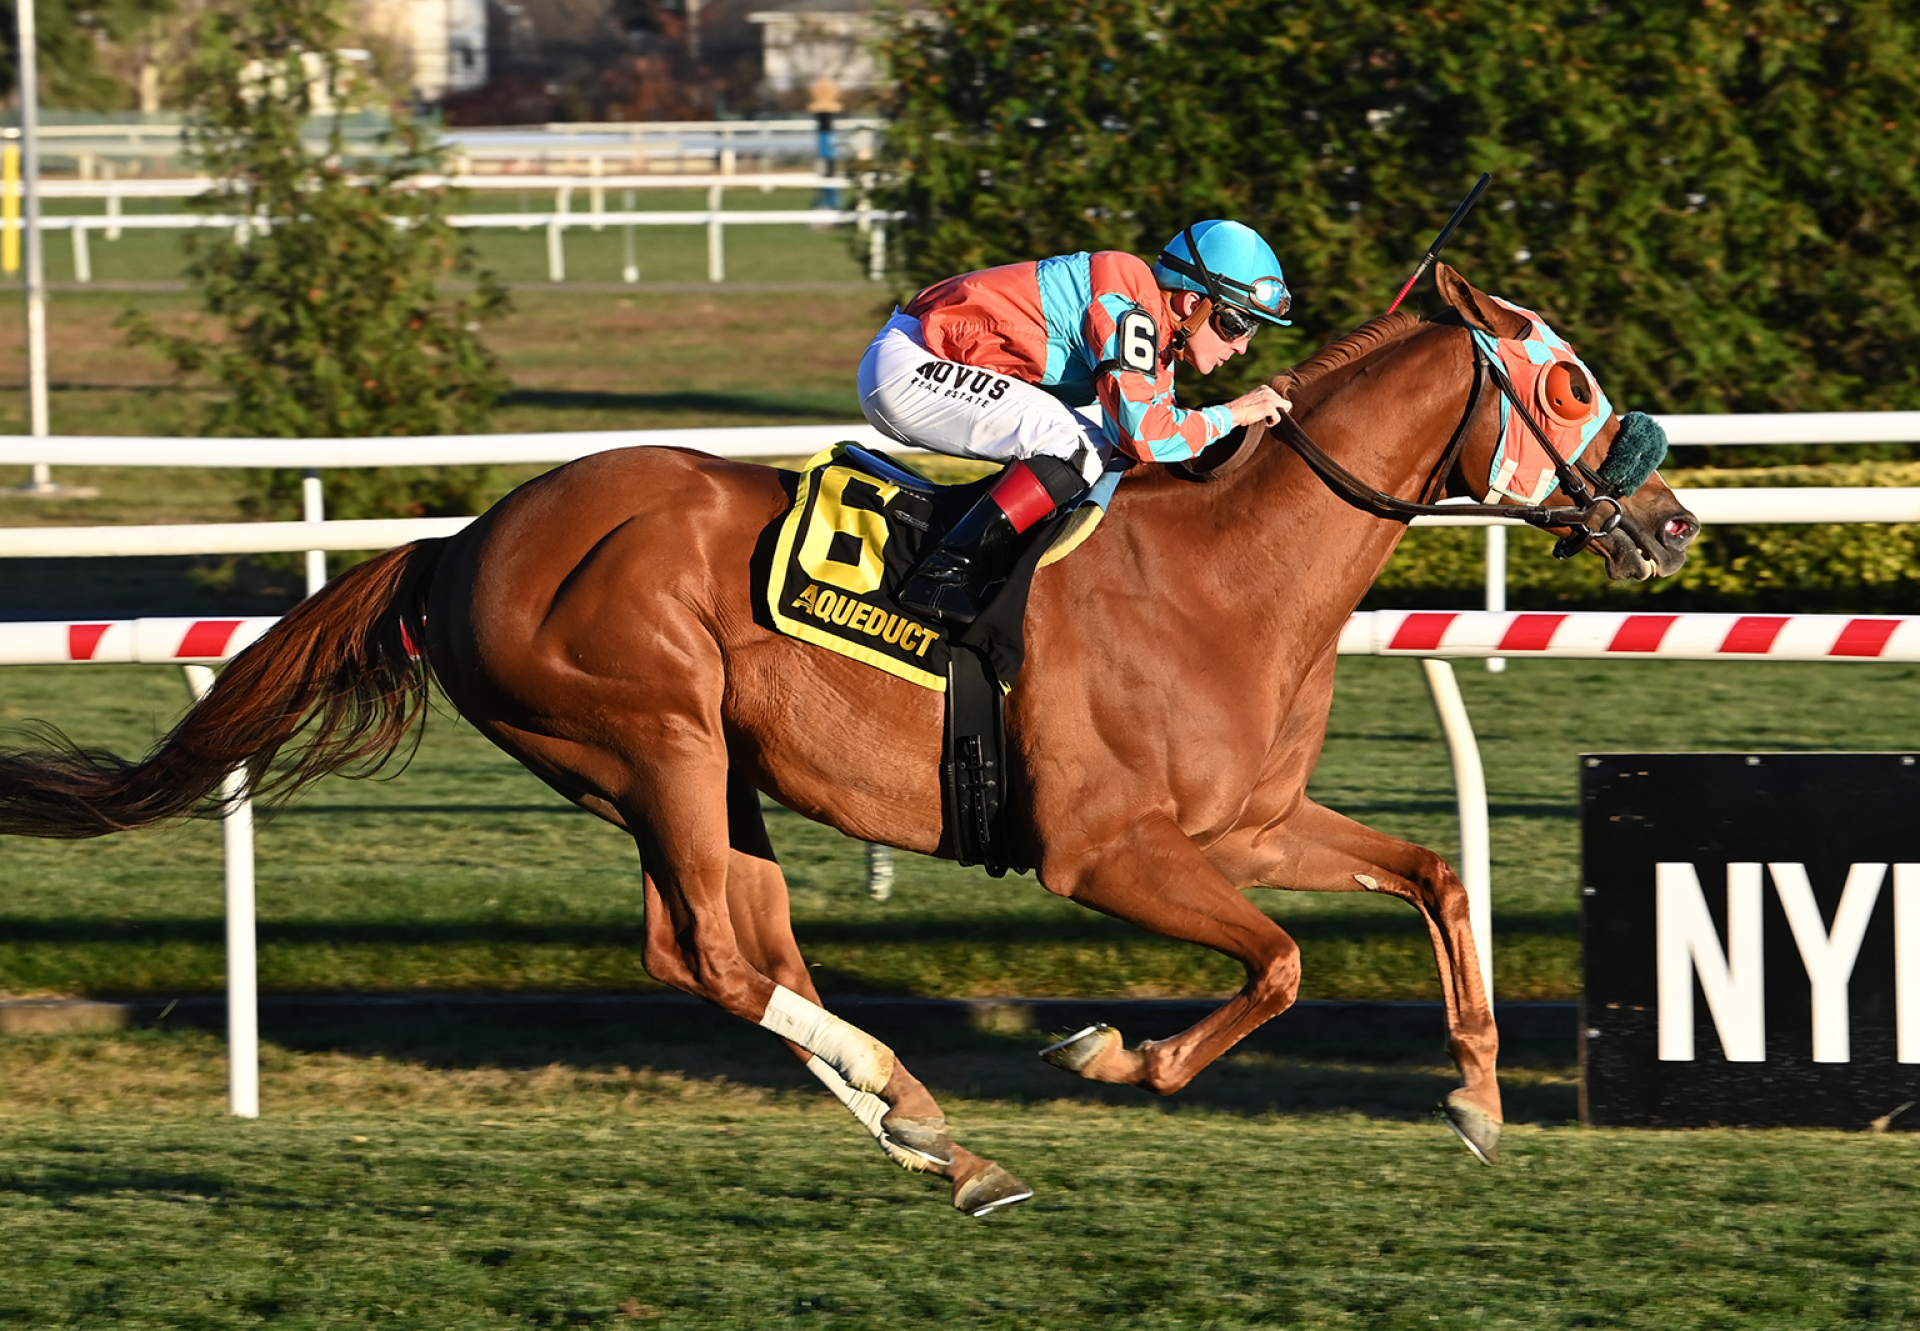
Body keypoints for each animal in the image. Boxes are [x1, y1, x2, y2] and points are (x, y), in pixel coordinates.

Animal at [0, 266, 1697, 1213]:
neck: (1230, 571)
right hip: (656, 735)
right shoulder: (1103, 851)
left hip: (685, 770)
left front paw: (1477, 1099)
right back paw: (930, 1116)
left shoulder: (1244, 823)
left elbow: (1434, 875)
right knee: (717, 954)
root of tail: (462, 537)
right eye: (1565, 380)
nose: (1672, 521)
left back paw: (938, 1143)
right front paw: (1118, 1049)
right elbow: (1276, 963)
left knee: (732, 948)